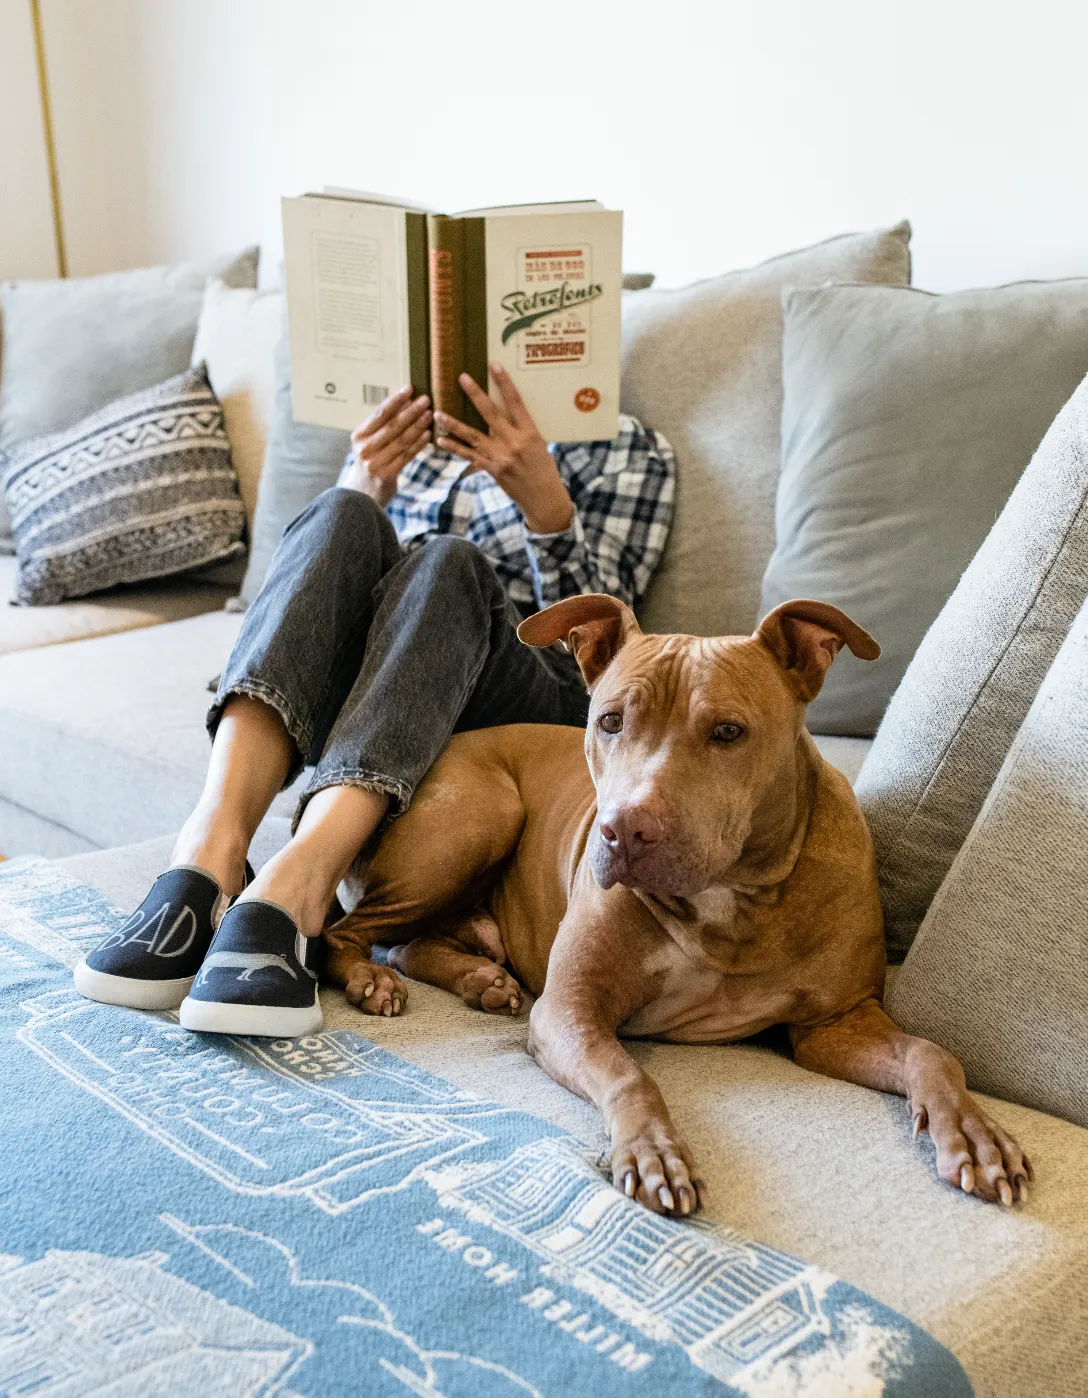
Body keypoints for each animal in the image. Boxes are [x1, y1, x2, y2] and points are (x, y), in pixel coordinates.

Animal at [320, 595, 1023, 1219]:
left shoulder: (835, 1025)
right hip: (477, 819)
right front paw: (654, 1152)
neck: (735, 898)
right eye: (609, 722)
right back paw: (372, 982)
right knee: (347, 933)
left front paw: (974, 1132)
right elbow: (631, 1076)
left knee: (408, 941)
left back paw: (479, 978)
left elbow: (929, 1052)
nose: (622, 831)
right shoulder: (571, 1012)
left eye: (728, 732)